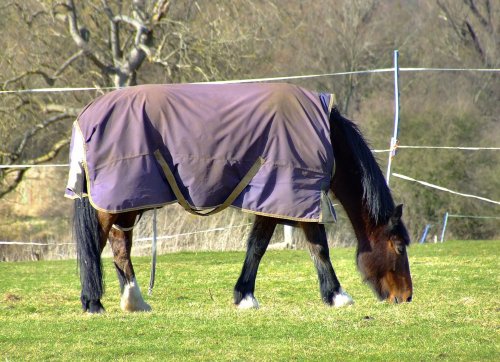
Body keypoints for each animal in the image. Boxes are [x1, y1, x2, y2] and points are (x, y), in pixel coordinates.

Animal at [65, 83, 410, 312]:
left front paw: (244, 295)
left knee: (119, 245)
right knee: (96, 246)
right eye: (398, 246)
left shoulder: (278, 200)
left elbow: (258, 246)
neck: (323, 135)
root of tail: (86, 116)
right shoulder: (295, 194)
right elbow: (315, 247)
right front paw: (338, 295)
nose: (406, 297)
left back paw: (134, 301)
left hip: (125, 202)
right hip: (114, 201)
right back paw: (93, 302)